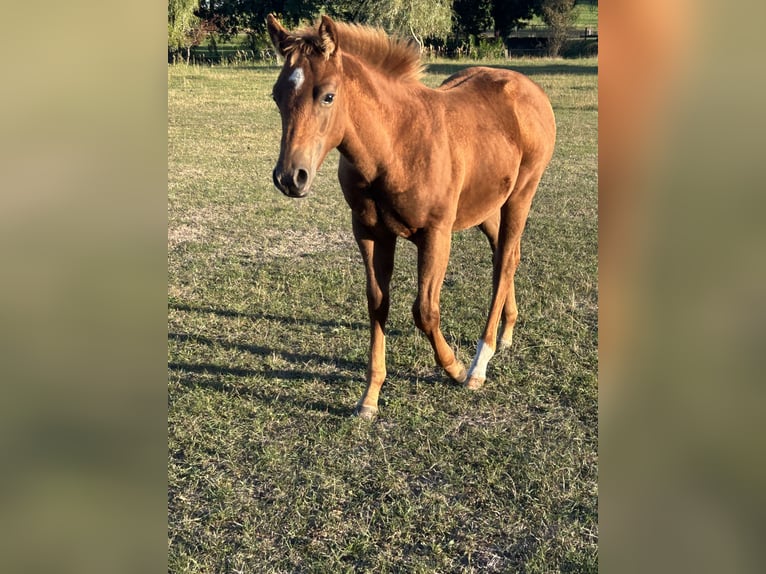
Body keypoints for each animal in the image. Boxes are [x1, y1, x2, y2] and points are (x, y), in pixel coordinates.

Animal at [266, 15, 556, 419]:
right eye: (277, 95)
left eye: (327, 95)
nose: (290, 177)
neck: (394, 145)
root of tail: (530, 88)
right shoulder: (369, 232)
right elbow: (377, 303)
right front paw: (369, 398)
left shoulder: (436, 234)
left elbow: (425, 311)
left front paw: (454, 367)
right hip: (482, 206)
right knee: (507, 254)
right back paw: (506, 333)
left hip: (520, 195)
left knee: (502, 267)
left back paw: (479, 364)